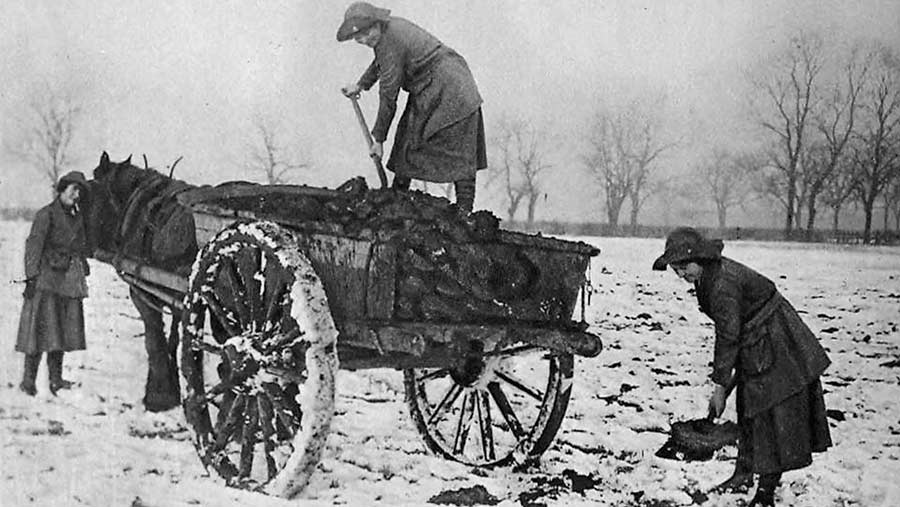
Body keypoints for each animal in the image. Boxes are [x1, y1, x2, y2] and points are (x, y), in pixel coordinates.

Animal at [84, 152, 199, 412]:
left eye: (92, 186)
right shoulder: (176, 299)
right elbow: (171, 340)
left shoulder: (143, 294)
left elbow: (153, 340)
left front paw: (158, 395)